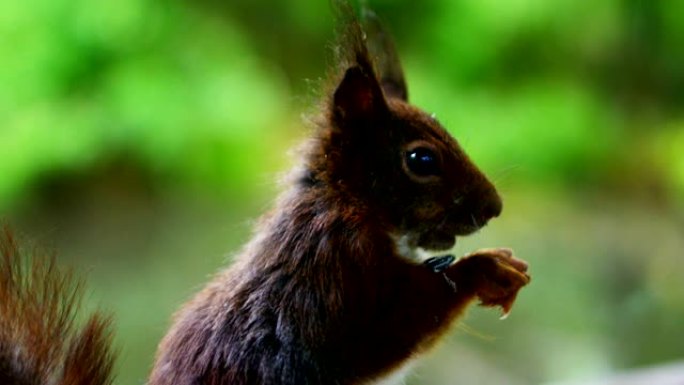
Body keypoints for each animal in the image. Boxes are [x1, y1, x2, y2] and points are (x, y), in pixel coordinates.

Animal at [0, 1, 528, 382]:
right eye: (422, 160)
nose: (495, 207)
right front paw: (486, 269)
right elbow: (393, 328)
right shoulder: (333, 277)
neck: (349, 205)